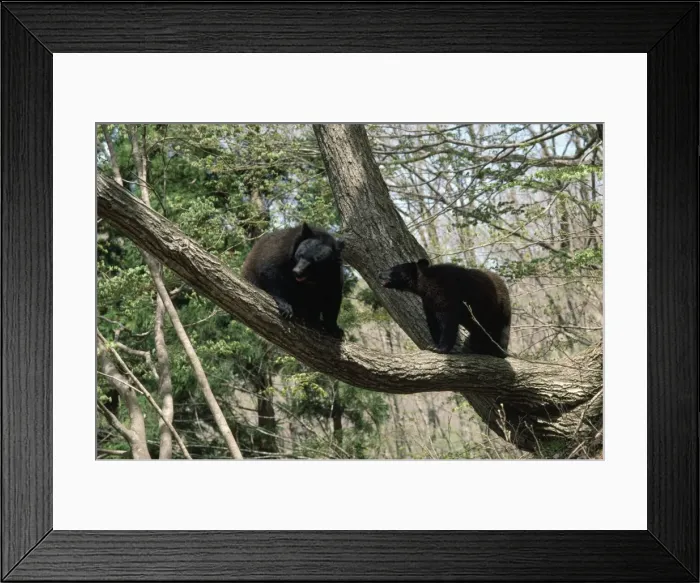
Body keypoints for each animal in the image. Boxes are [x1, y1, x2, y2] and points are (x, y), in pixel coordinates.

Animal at [379, 258, 511, 357]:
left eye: (392, 269)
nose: (379, 273)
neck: (425, 286)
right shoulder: (428, 302)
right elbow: (432, 321)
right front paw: (434, 345)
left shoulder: (446, 294)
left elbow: (448, 321)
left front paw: (440, 348)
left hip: (499, 309)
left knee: (501, 329)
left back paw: (498, 350)